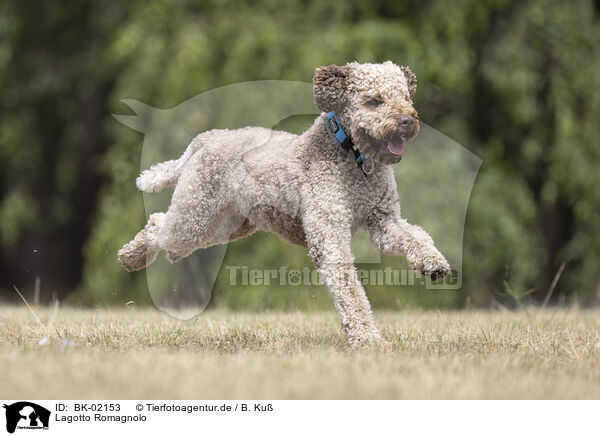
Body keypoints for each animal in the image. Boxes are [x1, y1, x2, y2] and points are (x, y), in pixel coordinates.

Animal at [118, 61, 450, 346]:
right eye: (374, 101)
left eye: (405, 96)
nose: (407, 121)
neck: (352, 156)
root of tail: (208, 137)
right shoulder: (329, 233)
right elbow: (350, 290)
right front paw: (367, 337)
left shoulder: (383, 221)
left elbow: (416, 236)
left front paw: (433, 263)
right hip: (196, 217)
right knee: (158, 225)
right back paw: (130, 257)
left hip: (226, 226)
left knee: (167, 237)